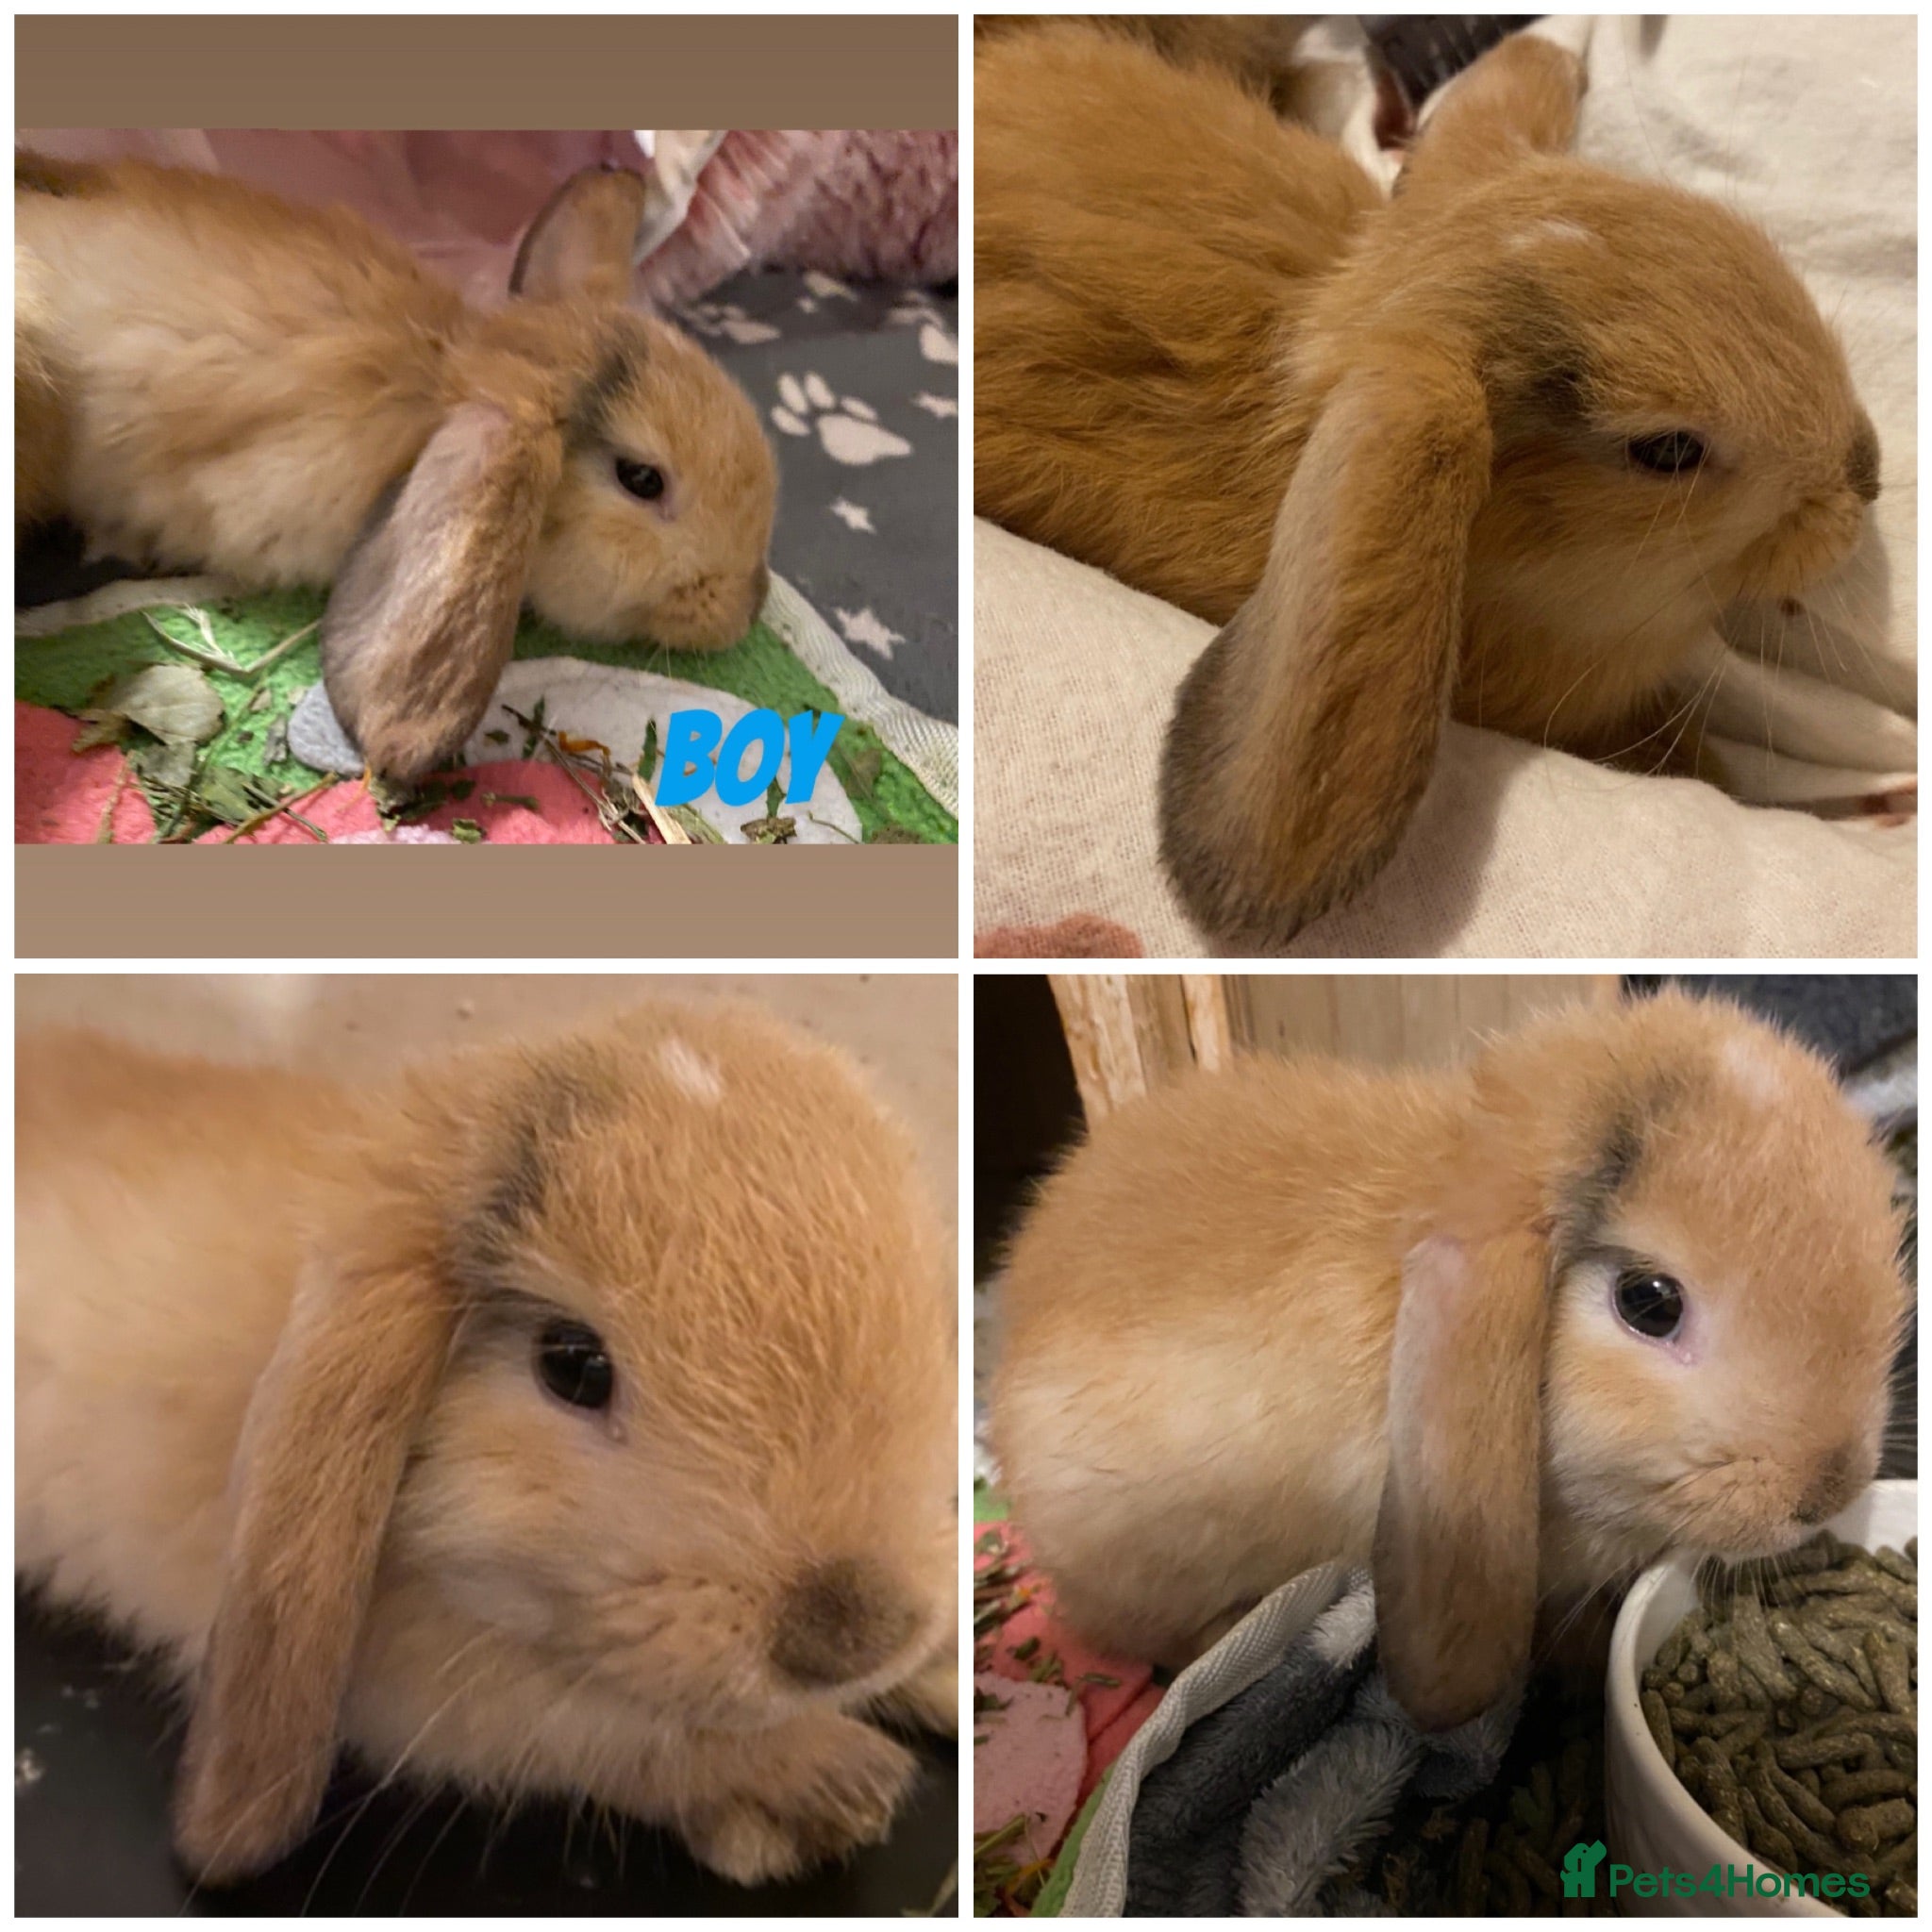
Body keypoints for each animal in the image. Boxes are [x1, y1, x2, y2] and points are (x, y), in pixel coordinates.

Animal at [16, 1002, 955, 1887]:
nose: (858, 1635)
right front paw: (822, 1783)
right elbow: (591, 1724)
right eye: (571, 1364)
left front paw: (939, 1669)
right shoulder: (423, 1681)